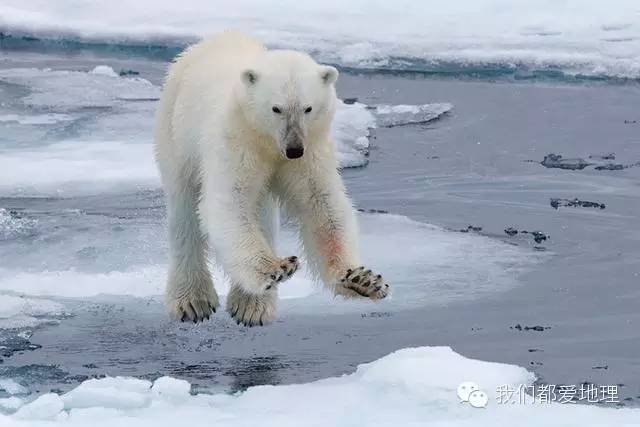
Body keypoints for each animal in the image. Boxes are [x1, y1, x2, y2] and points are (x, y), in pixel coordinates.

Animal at [154, 31, 390, 328]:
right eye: (276, 108)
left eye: (308, 108)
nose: (294, 148)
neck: (268, 141)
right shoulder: (236, 140)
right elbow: (229, 201)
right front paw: (276, 269)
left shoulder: (311, 149)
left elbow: (321, 203)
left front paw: (362, 280)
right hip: (177, 133)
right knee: (184, 207)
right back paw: (192, 300)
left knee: (262, 209)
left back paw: (252, 306)